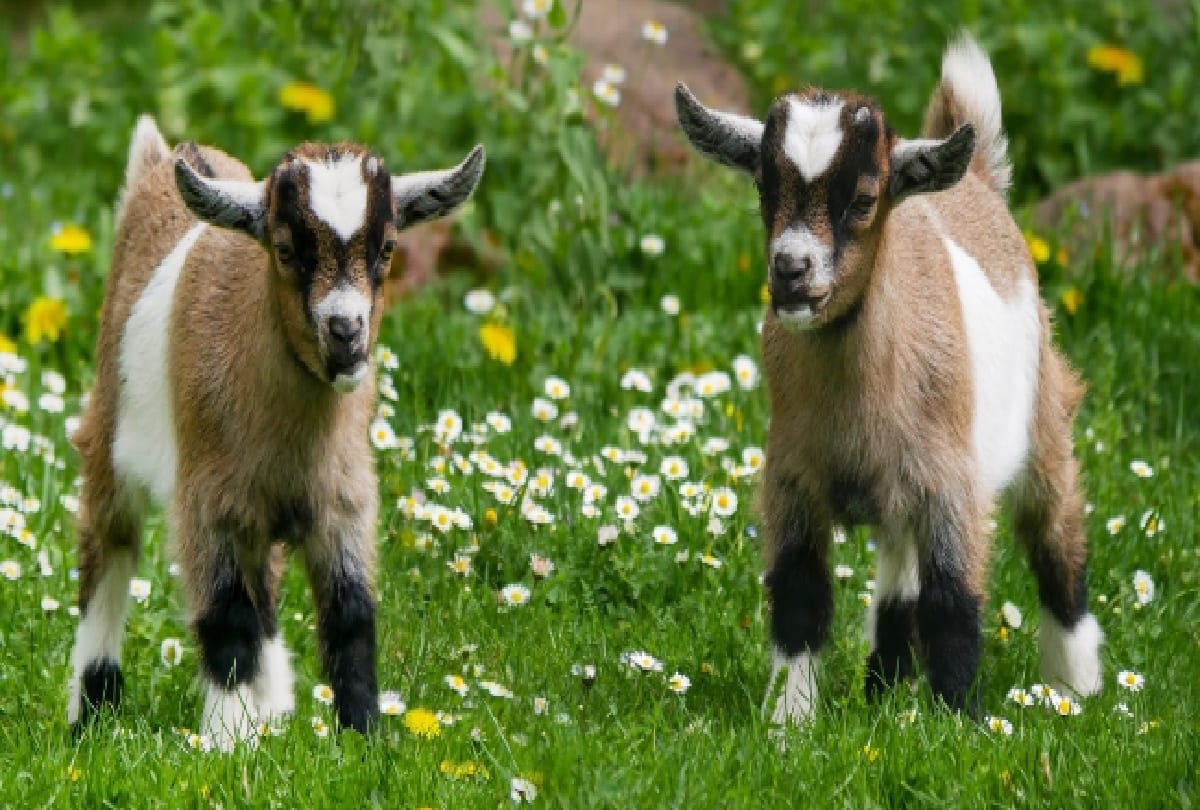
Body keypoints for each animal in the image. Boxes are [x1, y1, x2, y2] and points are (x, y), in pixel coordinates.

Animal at [67, 116, 484, 749]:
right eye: (286, 250)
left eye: (387, 248)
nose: (346, 334)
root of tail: (163, 161)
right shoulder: (210, 502)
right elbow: (226, 616)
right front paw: (222, 743)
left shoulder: (344, 499)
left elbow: (351, 615)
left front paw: (362, 737)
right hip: (109, 439)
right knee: (109, 551)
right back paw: (91, 713)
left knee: (265, 589)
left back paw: (273, 709)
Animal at [675, 34, 1102, 724]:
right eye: (764, 190)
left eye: (863, 200)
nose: (790, 270)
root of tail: (978, 181)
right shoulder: (791, 477)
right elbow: (799, 597)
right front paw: (788, 721)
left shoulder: (953, 485)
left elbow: (954, 603)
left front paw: (960, 723)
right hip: (902, 494)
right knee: (898, 580)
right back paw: (884, 686)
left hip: (1042, 419)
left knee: (1056, 536)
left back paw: (1075, 688)